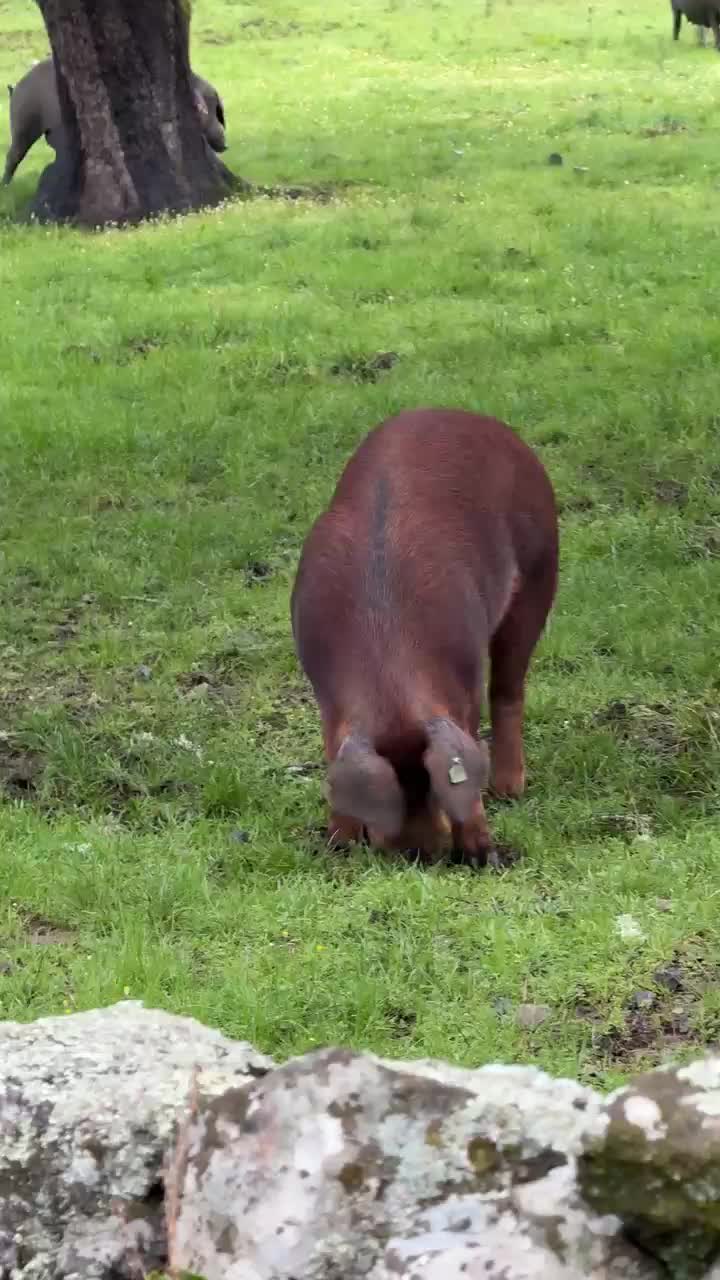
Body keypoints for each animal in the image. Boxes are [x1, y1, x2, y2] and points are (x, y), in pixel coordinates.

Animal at [3, 59, 227, 185]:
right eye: (208, 110)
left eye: (217, 110)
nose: (225, 143)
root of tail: (15, 88)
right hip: (23, 124)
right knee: (13, 155)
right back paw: (6, 185)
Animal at [291, 408, 559, 868]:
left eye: (432, 788)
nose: (418, 855)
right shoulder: (327, 694)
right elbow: (332, 749)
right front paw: (338, 846)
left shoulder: (464, 680)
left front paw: (484, 857)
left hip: (540, 567)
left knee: (508, 691)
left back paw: (509, 792)